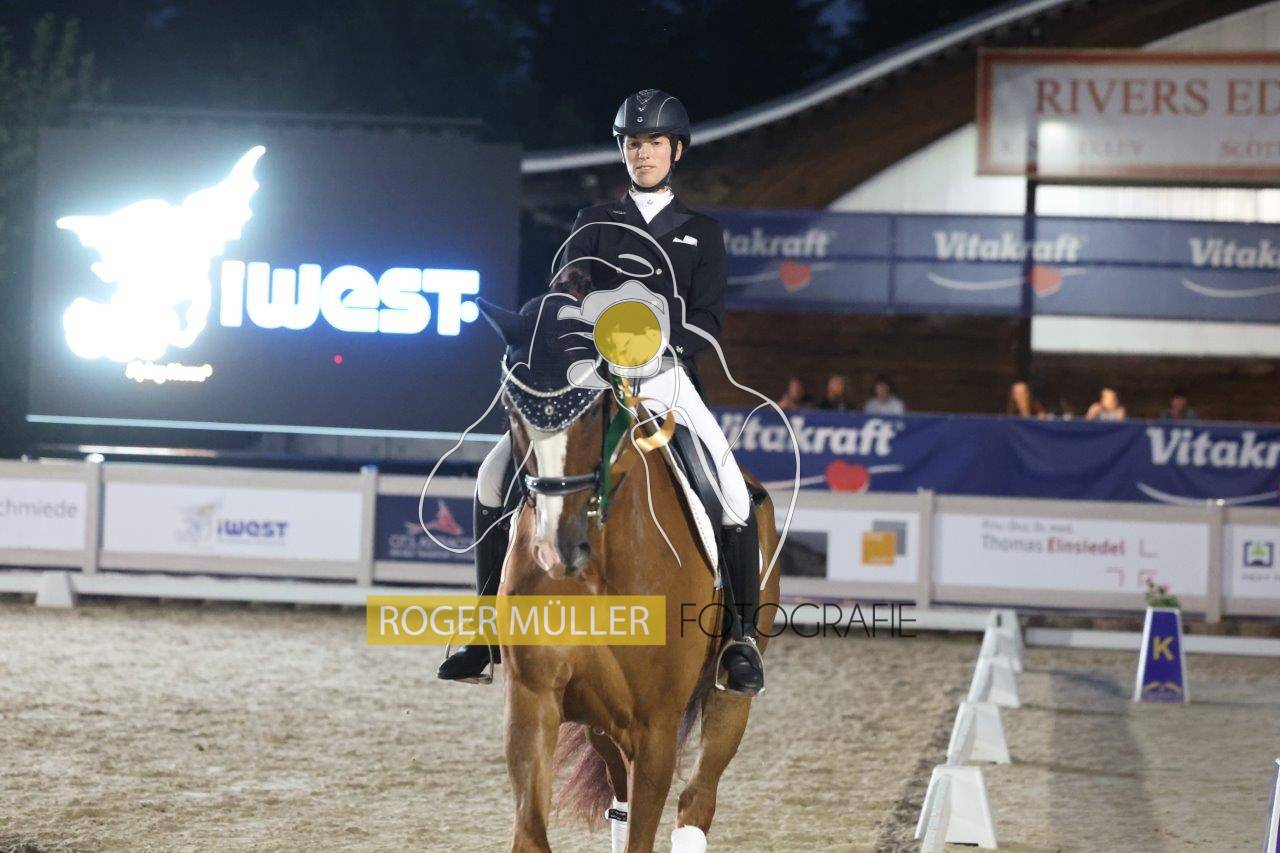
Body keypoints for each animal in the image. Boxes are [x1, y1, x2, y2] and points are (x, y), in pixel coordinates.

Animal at [479, 294, 780, 853]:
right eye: (510, 410)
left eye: (596, 410)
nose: (557, 547)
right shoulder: (533, 702)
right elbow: (531, 833)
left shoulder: (655, 726)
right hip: (601, 722)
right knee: (619, 798)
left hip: (726, 697)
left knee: (696, 801)